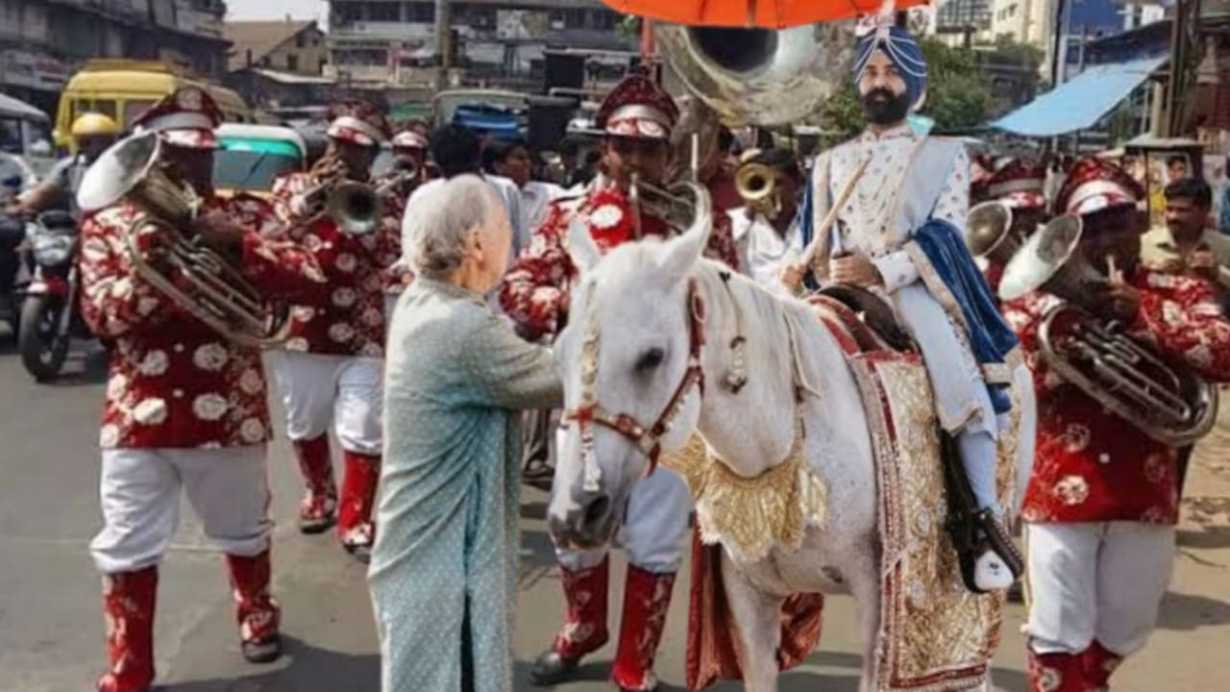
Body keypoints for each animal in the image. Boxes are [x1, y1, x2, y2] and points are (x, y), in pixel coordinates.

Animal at [543, 205, 1033, 692]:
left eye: (652, 356)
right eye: (560, 354)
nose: (575, 513)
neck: (778, 444)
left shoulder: (878, 603)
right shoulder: (749, 597)